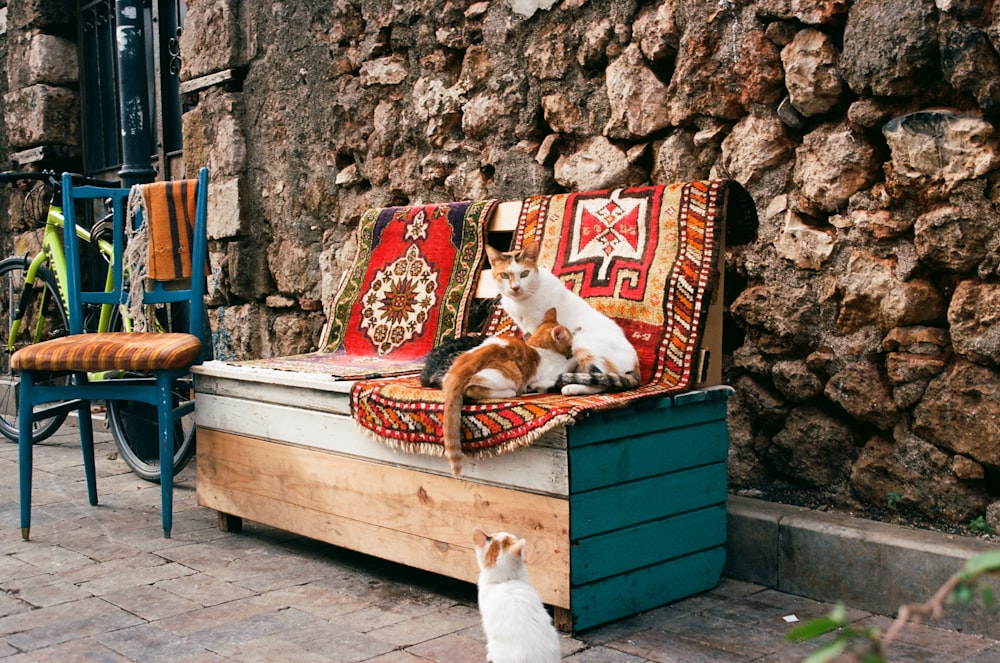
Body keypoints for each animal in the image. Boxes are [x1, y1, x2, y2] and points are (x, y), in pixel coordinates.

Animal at [444, 308, 576, 478]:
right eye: (570, 344)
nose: (572, 348)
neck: (538, 347)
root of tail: (461, 369)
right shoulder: (553, 373)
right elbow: (568, 364)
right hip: (510, 374)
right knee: (473, 388)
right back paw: (511, 392)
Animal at [486, 241, 640, 394]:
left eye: (524, 274)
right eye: (504, 275)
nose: (515, 288)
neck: (521, 302)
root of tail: (636, 364)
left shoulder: (537, 325)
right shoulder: (525, 328)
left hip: (582, 344)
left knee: (603, 381)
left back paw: (569, 387)